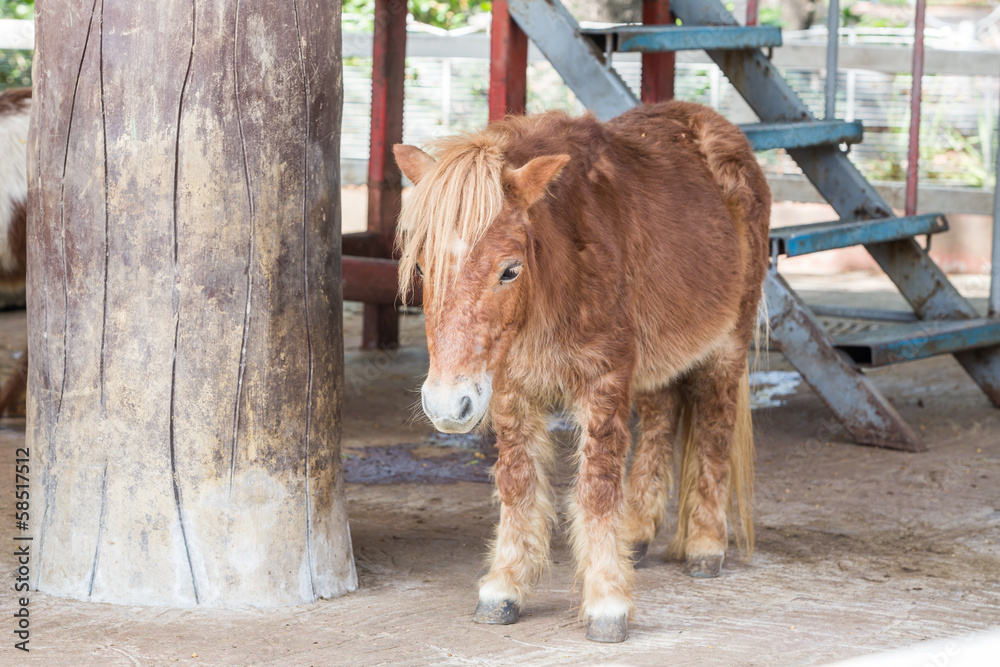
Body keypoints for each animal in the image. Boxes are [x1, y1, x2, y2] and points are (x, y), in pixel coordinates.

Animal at [393, 100, 771, 643]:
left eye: (510, 269)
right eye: (423, 268)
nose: (447, 407)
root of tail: (713, 124)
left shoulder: (604, 379)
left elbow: (596, 488)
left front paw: (607, 601)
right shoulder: (509, 389)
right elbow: (518, 483)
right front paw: (504, 587)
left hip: (727, 347)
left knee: (714, 429)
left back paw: (705, 546)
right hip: (656, 361)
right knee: (661, 421)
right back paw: (637, 533)